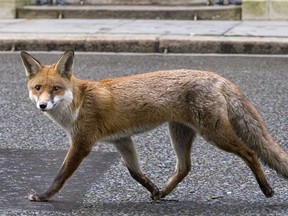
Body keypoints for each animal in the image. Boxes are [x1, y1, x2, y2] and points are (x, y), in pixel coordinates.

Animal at [19, 49, 286, 202]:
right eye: (38, 88)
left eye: (55, 88)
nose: (43, 105)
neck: (79, 102)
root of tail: (216, 76)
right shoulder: (121, 140)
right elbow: (135, 172)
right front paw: (152, 188)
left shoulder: (82, 143)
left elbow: (61, 175)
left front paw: (44, 196)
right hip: (179, 133)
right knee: (184, 168)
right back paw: (164, 193)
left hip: (214, 133)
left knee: (250, 152)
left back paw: (266, 188)